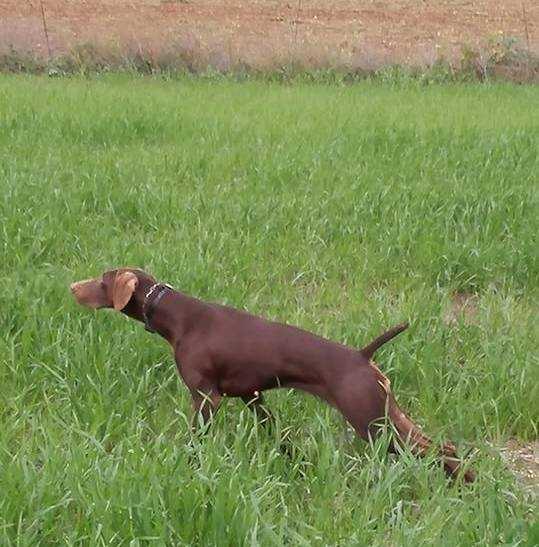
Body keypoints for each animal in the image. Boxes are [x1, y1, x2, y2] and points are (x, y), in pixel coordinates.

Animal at [71, 268, 476, 482]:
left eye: (103, 280)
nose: (73, 287)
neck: (176, 315)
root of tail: (363, 356)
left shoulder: (206, 397)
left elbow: (195, 440)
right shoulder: (252, 396)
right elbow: (279, 436)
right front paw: (294, 462)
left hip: (372, 423)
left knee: (432, 451)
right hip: (388, 414)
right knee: (445, 447)